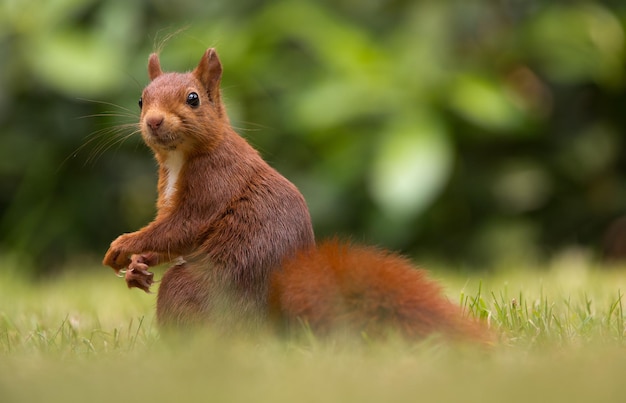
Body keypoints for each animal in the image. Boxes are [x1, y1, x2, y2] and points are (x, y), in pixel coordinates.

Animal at [102, 48, 488, 344]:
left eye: (193, 99)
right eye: (141, 100)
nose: (153, 121)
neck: (181, 158)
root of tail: (274, 326)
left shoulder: (214, 183)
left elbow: (182, 228)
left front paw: (122, 246)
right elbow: (169, 236)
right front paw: (137, 268)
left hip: (197, 289)